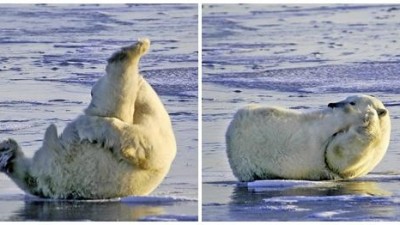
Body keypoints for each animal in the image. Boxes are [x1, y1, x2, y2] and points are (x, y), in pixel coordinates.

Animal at [0, 38, 177, 199]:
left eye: (93, 91)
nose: (91, 92)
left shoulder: (155, 135)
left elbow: (143, 142)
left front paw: (87, 126)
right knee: (30, 175)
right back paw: (7, 152)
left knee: (117, 90)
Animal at [225, 94, 390, 181]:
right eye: (349, 97)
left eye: (352, 102)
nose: (332, 103)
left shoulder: (357, 163)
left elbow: (336, 157)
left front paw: (369, 115)